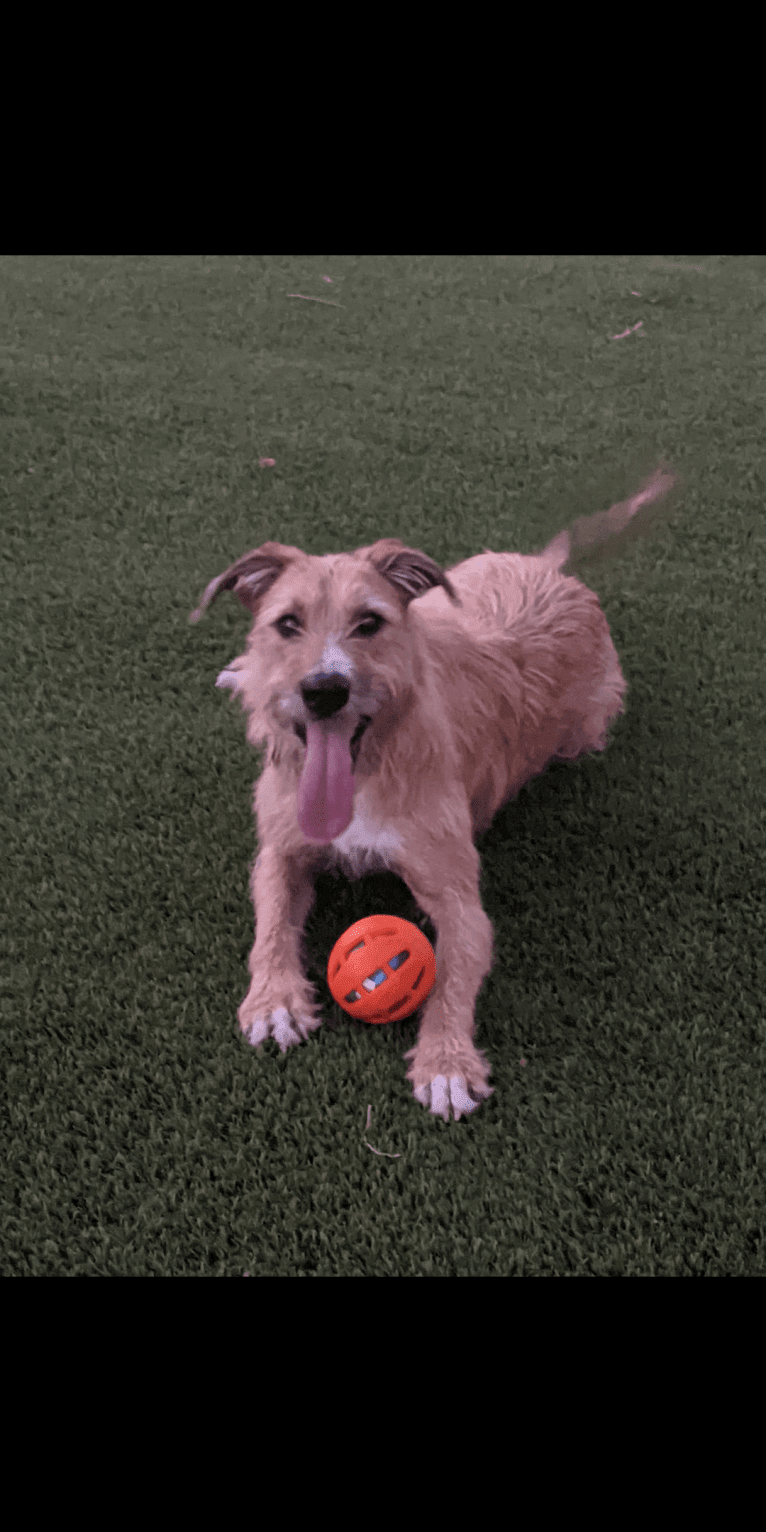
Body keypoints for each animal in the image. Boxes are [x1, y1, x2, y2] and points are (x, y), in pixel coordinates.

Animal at [191, 459, 677, 1121]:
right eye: (287, 624)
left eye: (370, 623)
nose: (323, 691)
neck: (369, 770)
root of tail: (550, 569)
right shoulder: (278, 853)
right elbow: (270, 926)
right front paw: (274, 1000)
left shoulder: (458, 898)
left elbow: (453, 972)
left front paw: (446, 1061)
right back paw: (241, 673)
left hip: (583, 721)